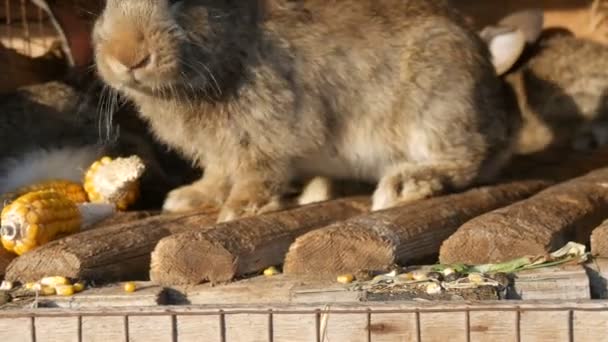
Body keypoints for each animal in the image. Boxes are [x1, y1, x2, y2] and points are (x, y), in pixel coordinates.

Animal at [92, 0, 520, 222]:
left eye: (182, 1)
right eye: (107, 3)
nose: (127, 57)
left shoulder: (266, 131)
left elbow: (256, 173)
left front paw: (239, 211)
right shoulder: (221, 151)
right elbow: (217, 174)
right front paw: (191, 198)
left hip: (436, 106)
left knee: (467, 158)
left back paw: (404, 185)